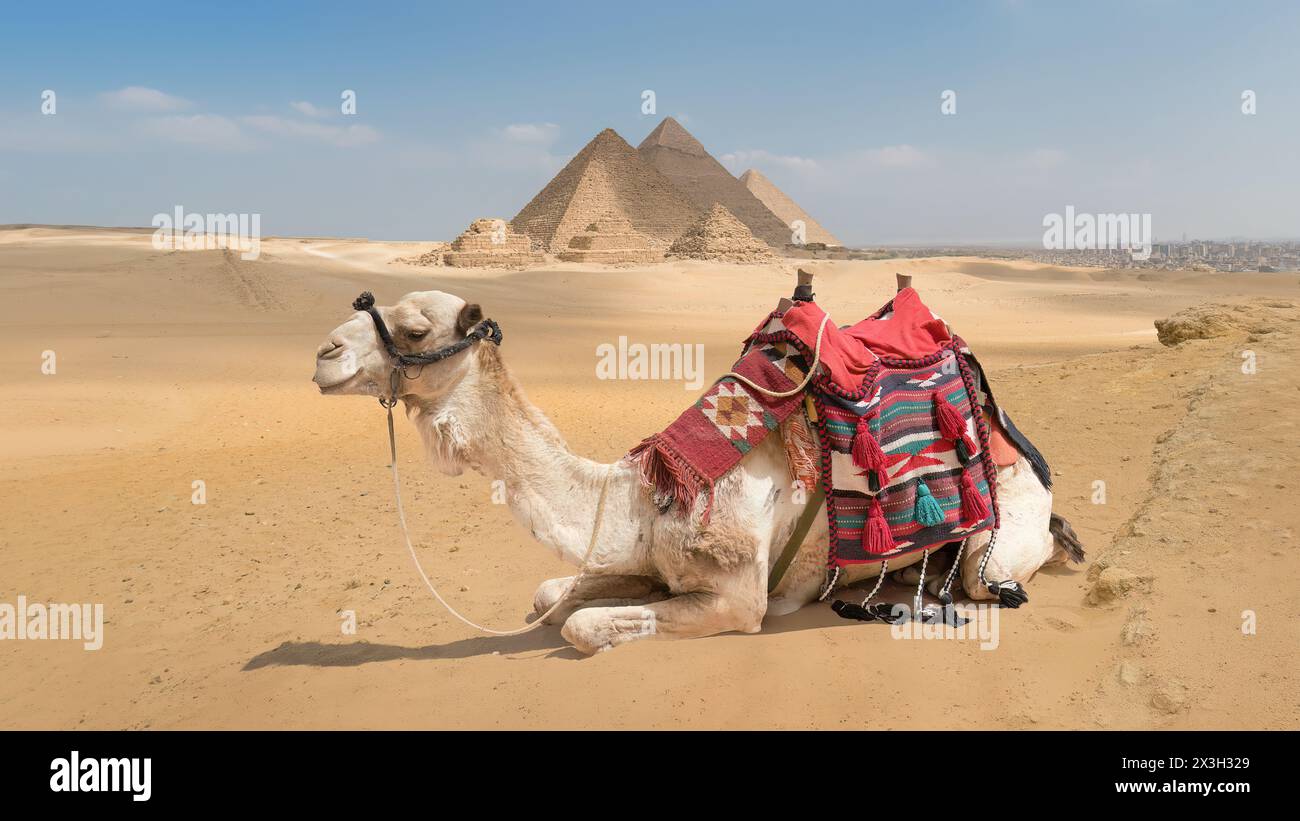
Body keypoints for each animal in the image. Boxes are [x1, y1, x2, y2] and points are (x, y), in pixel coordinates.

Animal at [309, 281, 1081, 654]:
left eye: (416, 331)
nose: (324, 353)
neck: (640, 495)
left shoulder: (738, 599)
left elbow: (581, 625)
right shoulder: (642, 559)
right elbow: (550, 594)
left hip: (999, 541)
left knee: (996, 572)